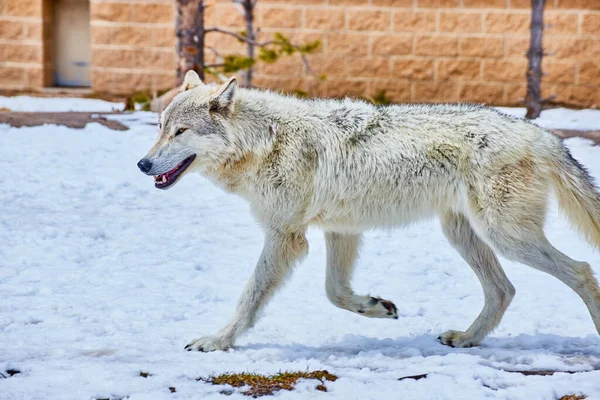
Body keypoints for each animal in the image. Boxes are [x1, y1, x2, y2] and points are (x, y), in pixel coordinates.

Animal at [137, 70, 600, 352]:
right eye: (160, 128)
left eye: (181, 132)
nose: (142, 164)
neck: (266, 141)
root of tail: (545, 135)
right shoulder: (341, 230)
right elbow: (335, 292)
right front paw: (376, 307)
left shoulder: (285, 236)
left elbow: (249, 297)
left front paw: (218, 341)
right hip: (465, 235)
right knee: (504, 290)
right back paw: (467, 338)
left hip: (506, 237)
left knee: (580, 271)